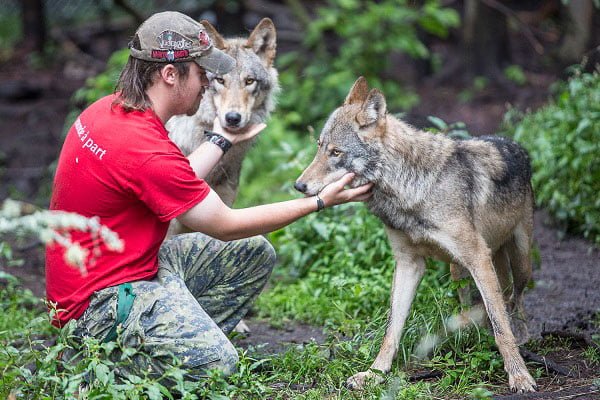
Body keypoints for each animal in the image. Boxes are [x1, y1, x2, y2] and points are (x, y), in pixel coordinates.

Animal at [294, 76, 536, 392]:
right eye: (319, 146)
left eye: (336, 153)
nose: (299, 186)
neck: (409, 188)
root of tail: (516, 144)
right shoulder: (409, 263)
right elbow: (392, 329)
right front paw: (375, 373)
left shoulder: (478, 258)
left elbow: (501, 328)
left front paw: (519, 375)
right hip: (458, 269)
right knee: (480, 303)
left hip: (519, 261)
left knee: (514, 301)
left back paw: (522, 336)